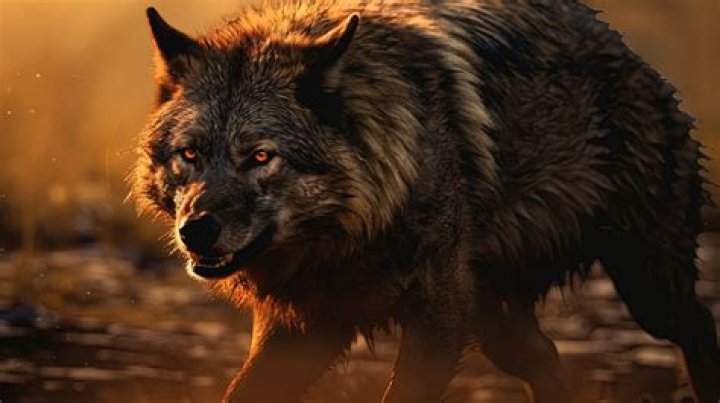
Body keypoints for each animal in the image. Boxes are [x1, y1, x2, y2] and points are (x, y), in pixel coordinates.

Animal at [132, 1, 720, 402]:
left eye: (259, 156)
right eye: (190, 154)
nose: (196, 230)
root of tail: (631, 53)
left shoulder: (438, 319)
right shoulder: (298, 329)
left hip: (647, 290)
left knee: (700, 323)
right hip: (497, 326)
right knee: (551, 360)